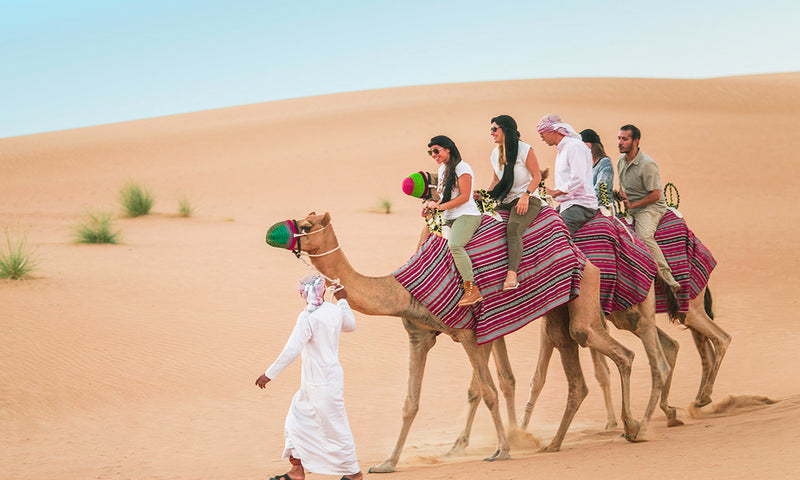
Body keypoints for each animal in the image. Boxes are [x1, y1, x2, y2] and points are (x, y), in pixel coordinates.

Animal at [274, 211, 642, 473]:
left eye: (306, 225)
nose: (276, 232)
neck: (401, 290)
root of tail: (577, 248)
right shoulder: (419, 337)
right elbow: (410, 403)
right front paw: (387, 463)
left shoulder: (469, 334)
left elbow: (489, 392)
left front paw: (502, 450)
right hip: (557, 311)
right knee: (577, 368)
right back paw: (557, 443)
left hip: (585, 291)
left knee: (613, 348)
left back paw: (632, 426)